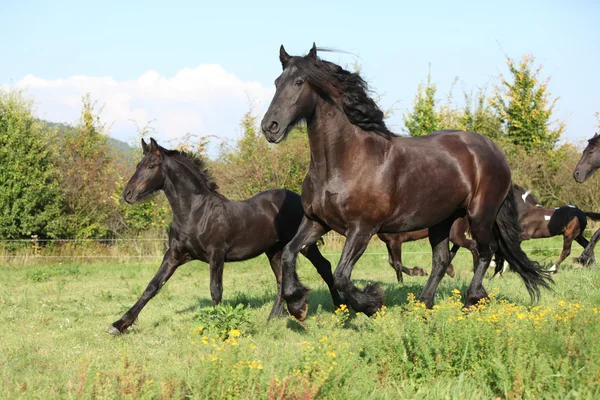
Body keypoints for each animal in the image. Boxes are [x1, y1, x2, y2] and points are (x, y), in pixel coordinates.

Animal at [109, 138, 346, 334]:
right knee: (281, 279)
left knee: (324, 267)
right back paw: (273, 318)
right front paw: (119, 324)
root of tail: (298, 199)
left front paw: (218, 324)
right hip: (274, 251)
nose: (127, 194)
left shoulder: (216, 254)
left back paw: (339, 308)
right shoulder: (175, 255)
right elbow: (152, 286)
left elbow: (216, 290)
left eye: (151, 166)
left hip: (305, 245)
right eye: (137, 165)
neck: (195, 212)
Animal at [260, 43, 552, 320]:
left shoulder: (362, 228)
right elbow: (288, 253)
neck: (344, 163)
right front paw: (297, 305)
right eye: (276, 82)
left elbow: (342, 276)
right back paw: (422, 306)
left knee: (484, 252)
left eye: (299, 82)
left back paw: (471, 300)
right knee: (442, 261)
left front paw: (372, 304)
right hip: (441, 221)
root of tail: (494, 151)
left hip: (480, 215)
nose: (269, 127)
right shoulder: (316, 221)